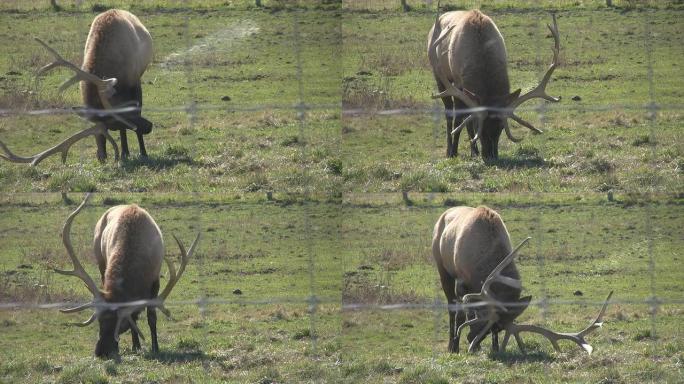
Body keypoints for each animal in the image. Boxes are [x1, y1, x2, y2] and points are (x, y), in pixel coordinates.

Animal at [0, 9, 152, 166]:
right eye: (113, 124)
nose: (149, 126)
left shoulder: (135, 80)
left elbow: (138, 109)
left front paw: (143, 153)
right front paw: (120, 154)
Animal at [55, 194, 200, 358]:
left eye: (120, 323)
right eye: (99, 320)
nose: (100, 352)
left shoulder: (155, 279)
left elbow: (151, 316)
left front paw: (155, 347)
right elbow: (136, 318)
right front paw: (136, 345)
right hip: (100, 261)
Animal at [428, 10, 560, 160]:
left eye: (501, 127)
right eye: (480, 127)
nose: (491, 156)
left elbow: (467, 117)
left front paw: (474, 150)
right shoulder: (457, 82)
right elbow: (459, 119)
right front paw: (453, 152)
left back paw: (474, 151)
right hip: (439, 75)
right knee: (449, 113)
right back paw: (450, 150)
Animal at [430, 207, 612, 354]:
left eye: (497, 328)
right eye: (485, 319)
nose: (471, 341)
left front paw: (495, 348)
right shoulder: (461, 281)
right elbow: (460, 313)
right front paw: (455, 347)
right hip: (442, 268)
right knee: (451, 308)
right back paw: (452, 345)